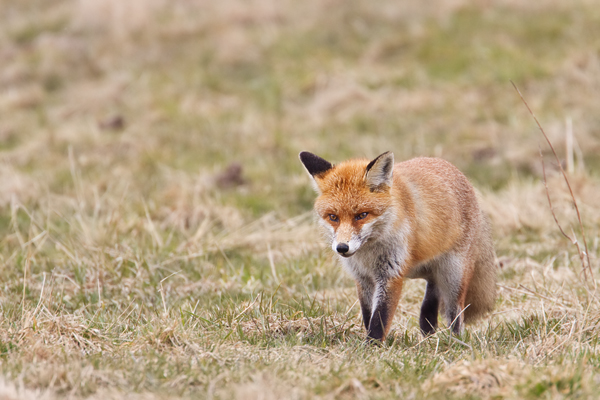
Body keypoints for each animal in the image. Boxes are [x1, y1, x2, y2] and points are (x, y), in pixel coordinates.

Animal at [300, 152, 496, 342]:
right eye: (333, 217)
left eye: (362, 215)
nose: (342, 247)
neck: (369, 254)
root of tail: (459, 174)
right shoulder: (363, 278)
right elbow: (368, 315)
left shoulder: (390, 274)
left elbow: (380, 318)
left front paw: (371, 347)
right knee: (432, 291)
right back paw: (428, 329)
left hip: (453, 274)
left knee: (455, 312)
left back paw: (455, 341)